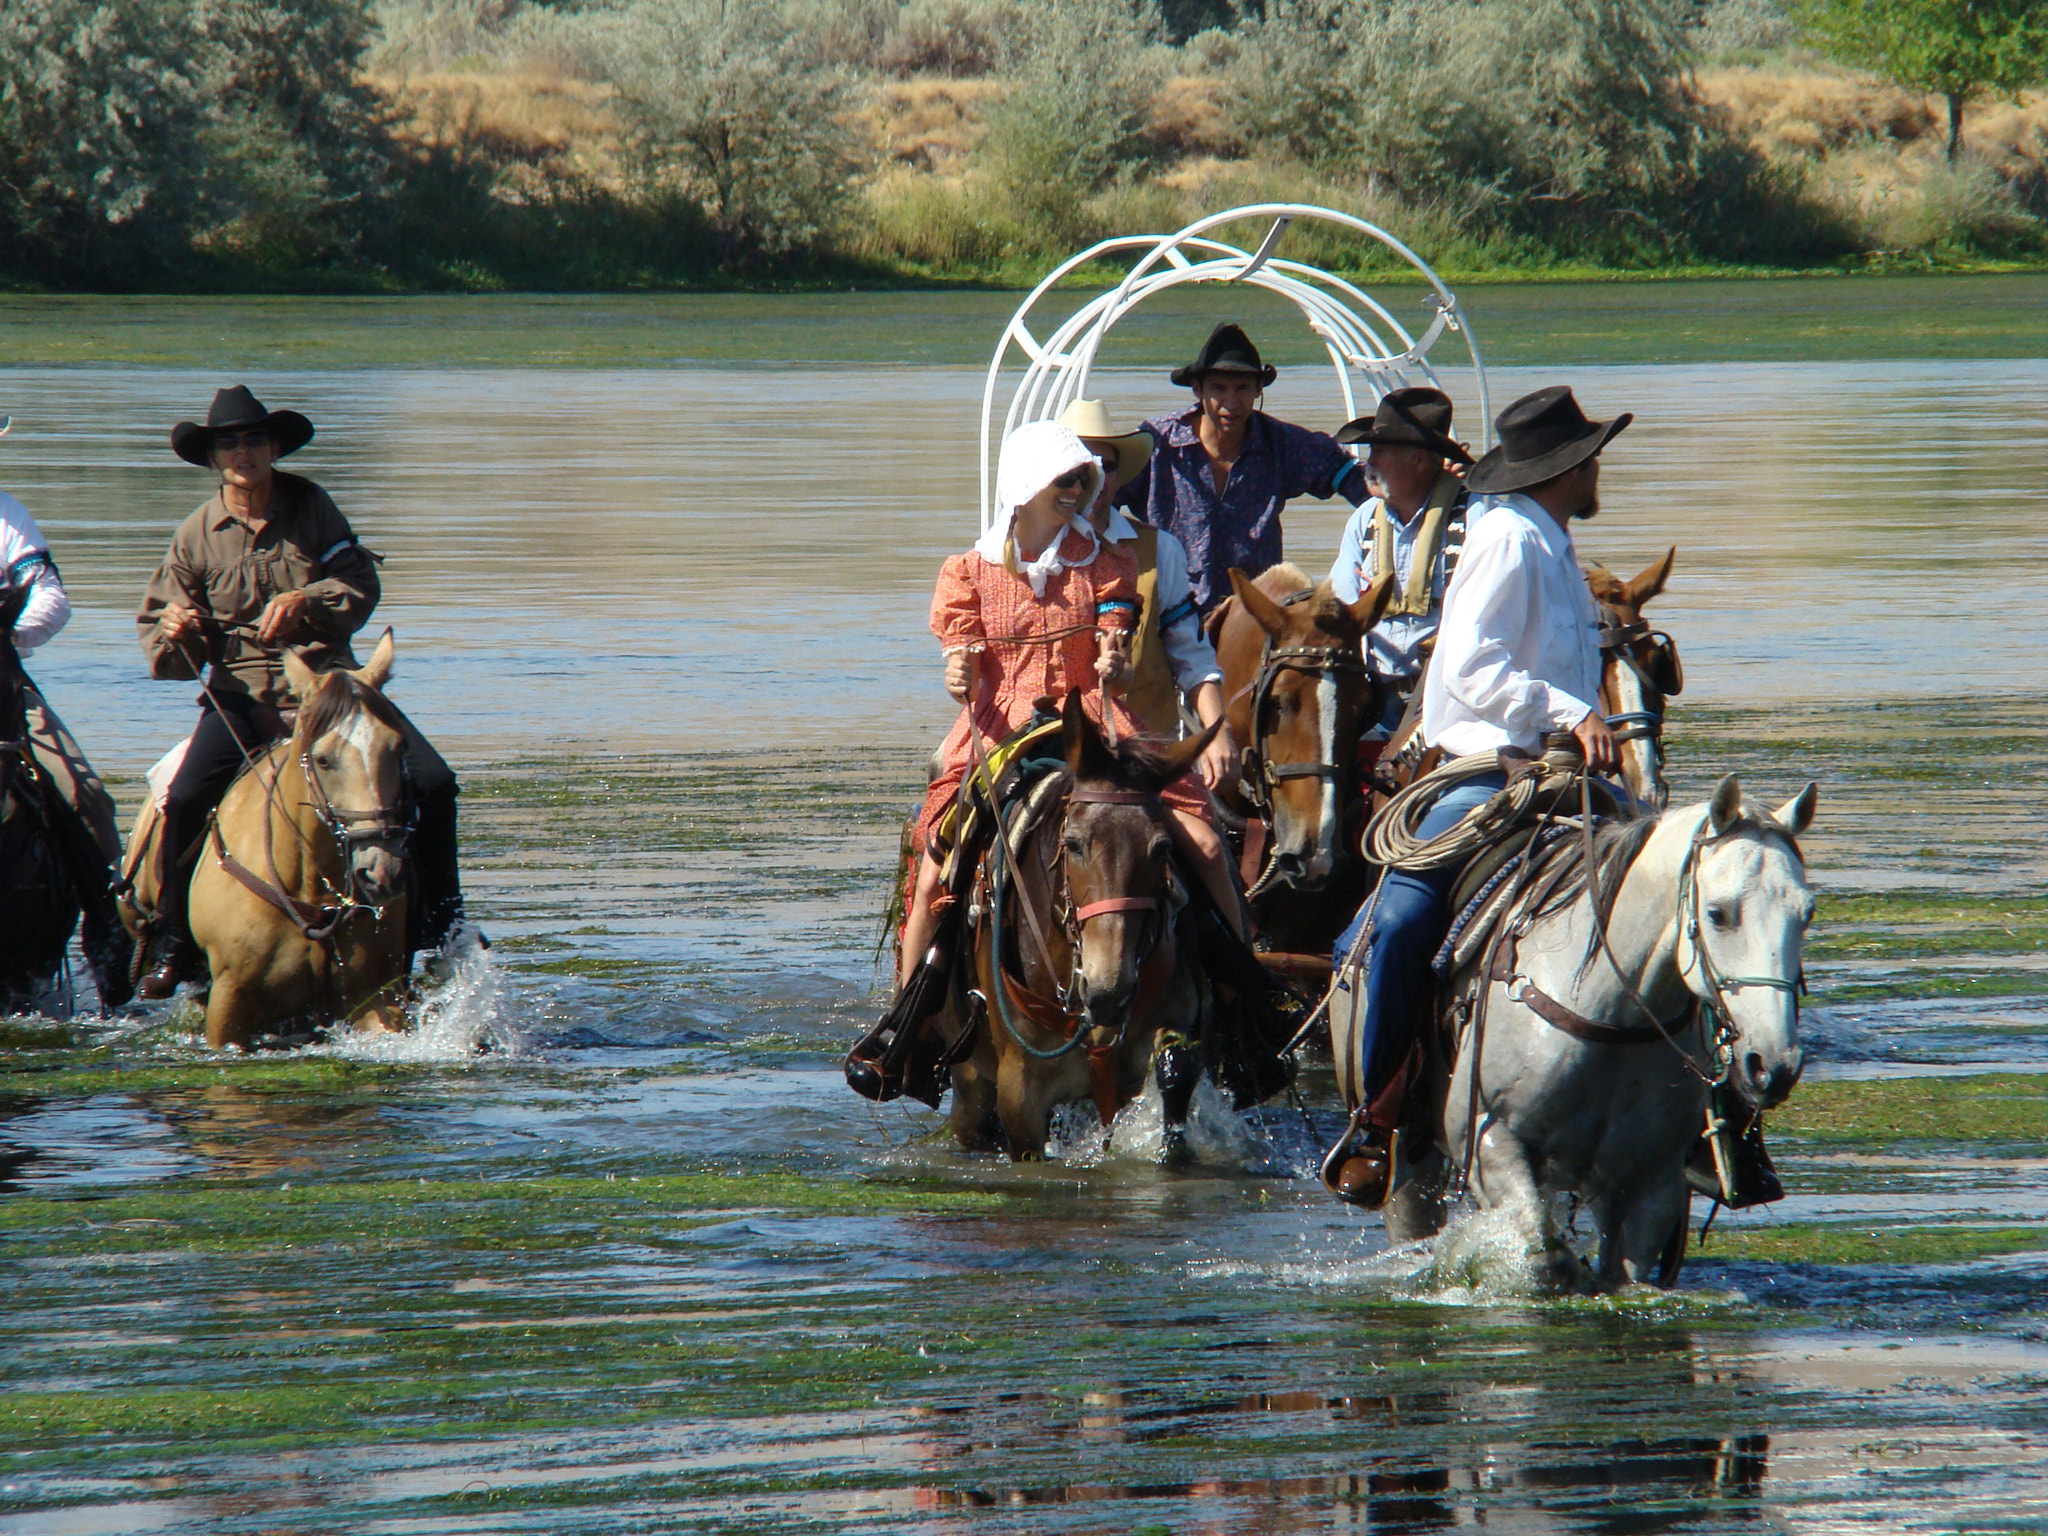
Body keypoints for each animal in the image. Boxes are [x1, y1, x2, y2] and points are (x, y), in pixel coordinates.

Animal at [937, 692, 1220, 1163]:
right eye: (1073, 844)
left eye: (1162, 848)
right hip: (971, 1085)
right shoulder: (1019, 1093)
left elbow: (1176, 1068)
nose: (1110, 989)